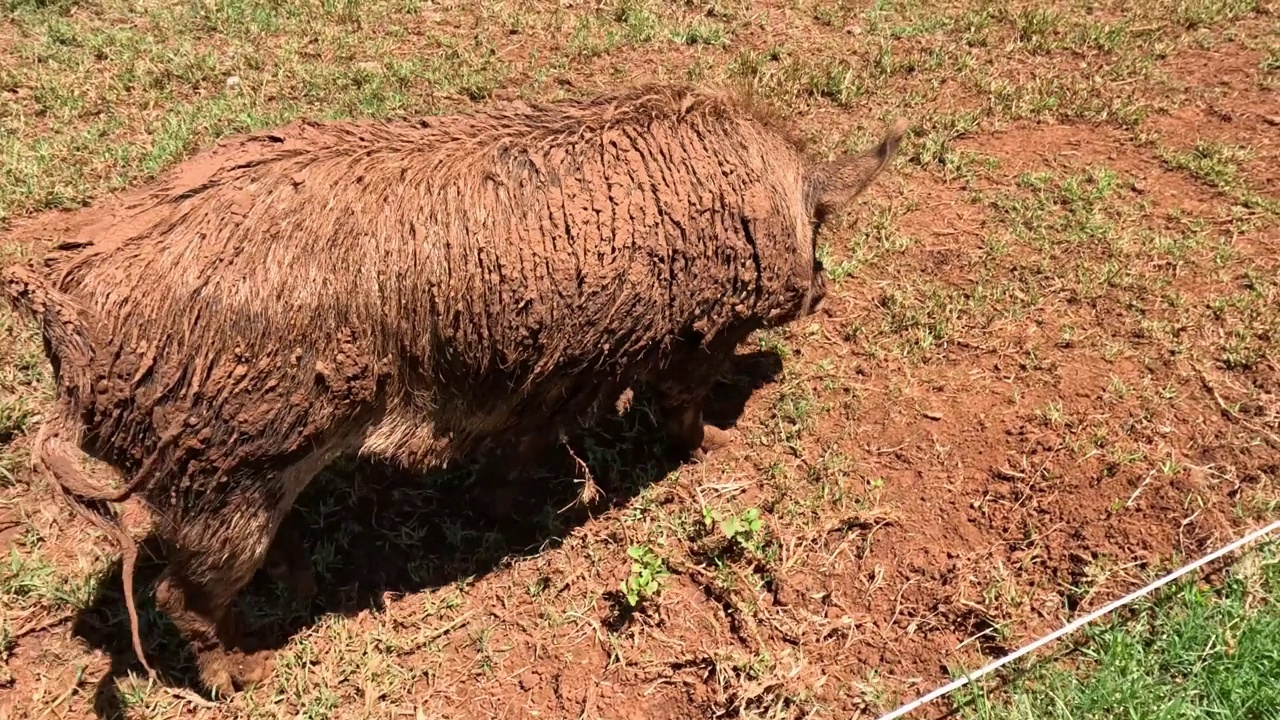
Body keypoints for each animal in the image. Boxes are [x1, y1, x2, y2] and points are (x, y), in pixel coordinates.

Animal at [0, 83, 911, 696]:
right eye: (822, 229)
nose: (823, 290)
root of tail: (63, 310)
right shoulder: (695, 334)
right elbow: (678, 403)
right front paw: (720, 444)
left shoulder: (550, 375)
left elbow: (530, 444)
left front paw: (519, 511)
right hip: (227, 473)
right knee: (177, 592)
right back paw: (251, 674)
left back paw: (300, 590)